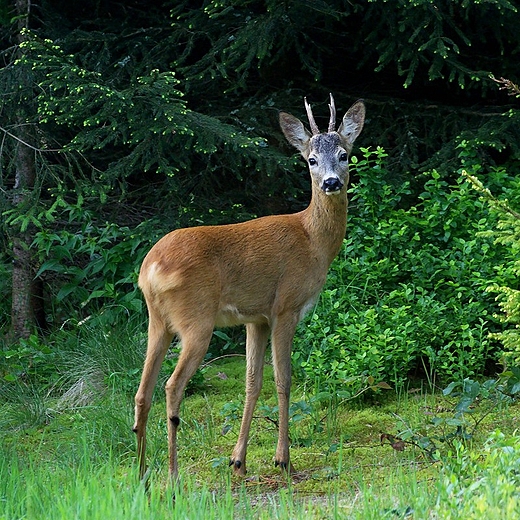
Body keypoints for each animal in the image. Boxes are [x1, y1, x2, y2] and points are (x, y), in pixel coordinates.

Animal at [134, 93, 366, 480]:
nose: (331, 183)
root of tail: (149, 269)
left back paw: (141, 476)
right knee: (171, 386)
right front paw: (282, 458)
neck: (312, 240)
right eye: (311, 159)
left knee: (142, 390)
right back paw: (173, 475)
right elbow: (283, 380)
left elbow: (252, 382)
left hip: (158, 321)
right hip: (196, 320)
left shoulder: (255, 318)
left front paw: (238, 460)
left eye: (344, 154)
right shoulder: (285, 306)